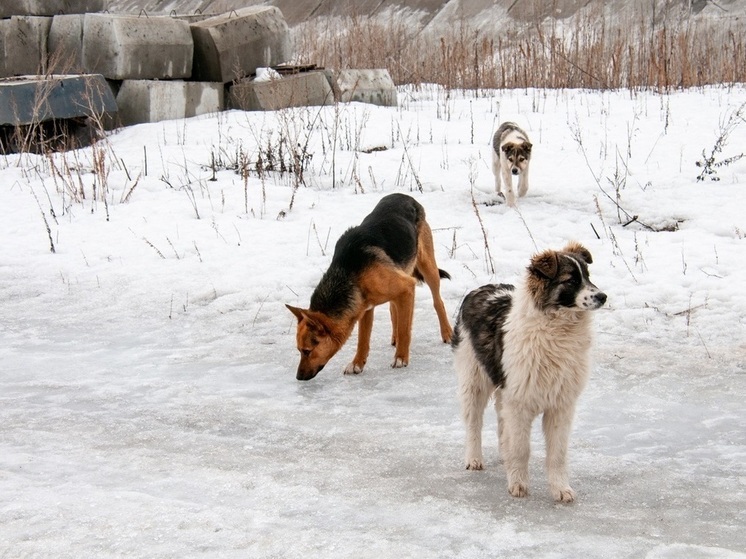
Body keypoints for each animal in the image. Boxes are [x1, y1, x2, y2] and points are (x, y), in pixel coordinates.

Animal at [284, 195, 450, 382]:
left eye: (307, 351)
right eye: (299, 351)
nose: (298, 377)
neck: (349, 273)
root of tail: (405, 197)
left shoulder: (407, 287)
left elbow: (405, 330)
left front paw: (401, 358)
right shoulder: (365, 308)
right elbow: (363, 340)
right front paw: (357, 364)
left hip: (428, 269)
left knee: (438, 302)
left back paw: (447, 333)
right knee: (394, 309)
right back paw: (395, 337)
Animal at [448, 243, 604, 506]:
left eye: (588, 276)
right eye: (571, 280)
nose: (603, 297)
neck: (556, 329)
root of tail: (480, 289)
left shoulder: (560, 405)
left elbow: (557, 453)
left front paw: (560, 489)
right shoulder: (519, 402)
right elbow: (522, 449)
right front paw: (518, 484)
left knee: (502, 424)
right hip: (474, 380)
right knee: (473, 423)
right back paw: (474, 458)